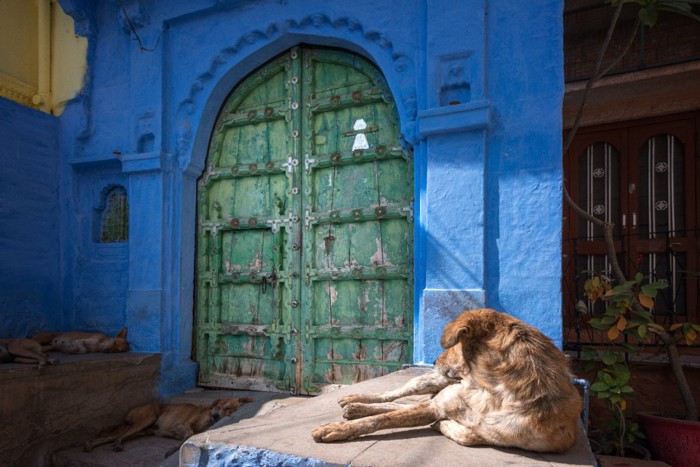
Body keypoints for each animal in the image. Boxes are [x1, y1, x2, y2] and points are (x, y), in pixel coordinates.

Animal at [82, 396, 252, 452]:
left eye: (228, 408)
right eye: (218, 406)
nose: (216, 415)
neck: (209, 419)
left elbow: (188, 437)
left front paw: (175, 447)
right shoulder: (181, 425)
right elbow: (190, 434)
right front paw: (173, 449)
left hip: (143, 430)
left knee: (114, 436)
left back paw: (91, 444)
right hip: (147, 418)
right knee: (119, 435)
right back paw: (114, 444)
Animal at [314, 308, 584, 456]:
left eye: (456, 343)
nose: (434, 359)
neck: (491, 392)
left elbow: (471, 436)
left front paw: (444, 425)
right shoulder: (439, 404)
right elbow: (381, 420)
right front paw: (333, 428)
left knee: (400, 405)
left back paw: (356, 408)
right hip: (429, 381)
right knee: (392, 396)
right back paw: (355, 401)